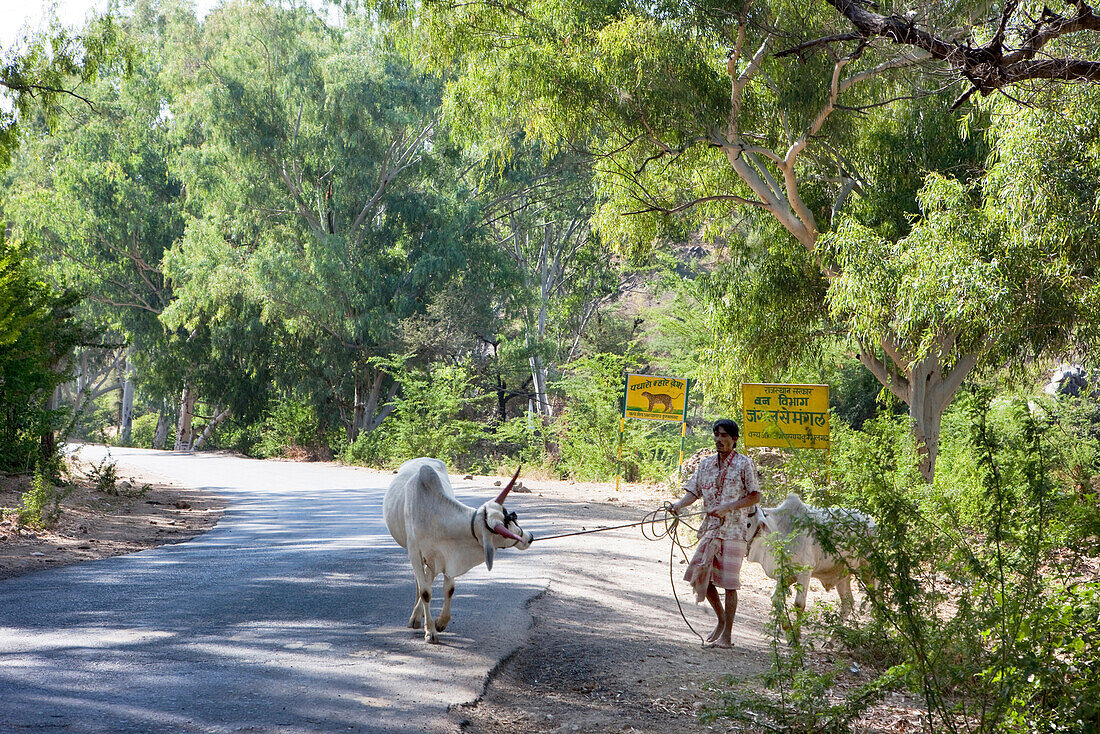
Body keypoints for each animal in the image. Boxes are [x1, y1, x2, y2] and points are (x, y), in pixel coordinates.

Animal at [382, 459, 532, 642]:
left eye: (510, 517)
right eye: (505, 527)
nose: (528, 537)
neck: (436, 517)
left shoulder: (447, 556)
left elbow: (449, 589)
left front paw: (440, 622)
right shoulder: (415, 553)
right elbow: (425, 592)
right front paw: (430, 631)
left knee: (428, 577)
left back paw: (419, 615)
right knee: (420, 582)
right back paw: (416, 618)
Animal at [743, 493, 871, 620]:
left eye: (748, 524)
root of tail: (871, 522)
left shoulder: (805, 571)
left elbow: (799, 604)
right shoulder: (783, 575)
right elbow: (776, 600)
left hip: (869, 573)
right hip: (843, 575)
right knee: (847, 603)